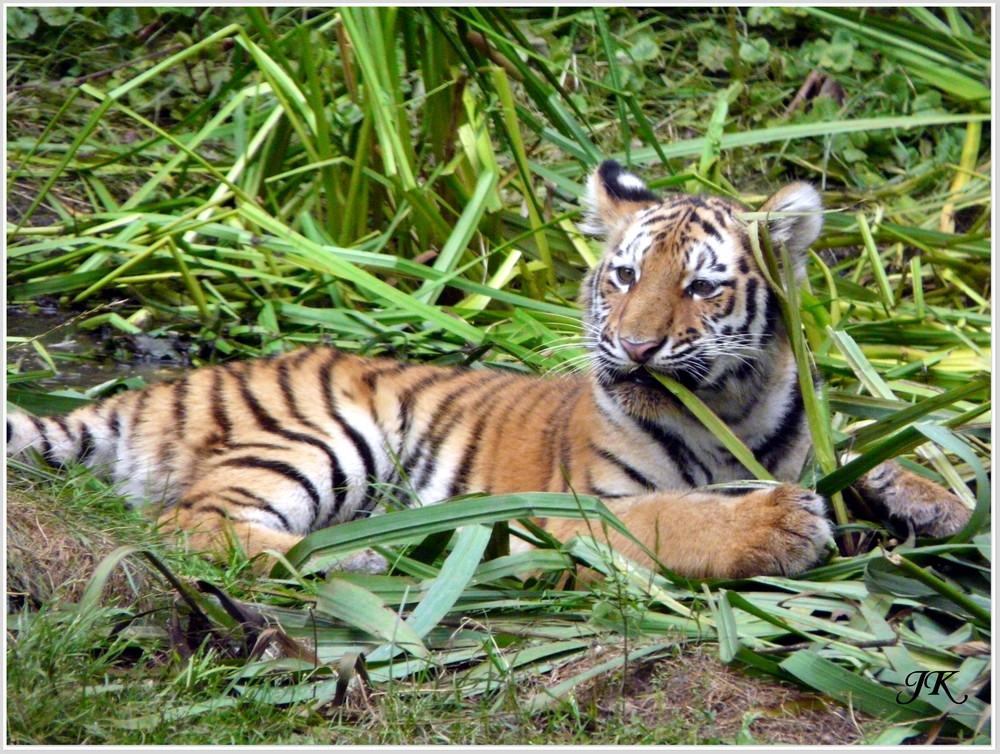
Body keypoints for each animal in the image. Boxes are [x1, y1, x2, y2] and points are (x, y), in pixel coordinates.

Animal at [3, 162, 968, 580]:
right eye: (624, 277)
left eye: (699, 287)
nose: (635, 346)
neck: (728, 408)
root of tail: (163, 385)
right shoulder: (572, 509)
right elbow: (669, 518)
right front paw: (773, 526)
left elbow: (873, 458)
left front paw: (943, 501)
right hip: (320, 438)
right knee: (191, 523)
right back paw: (371, 554)